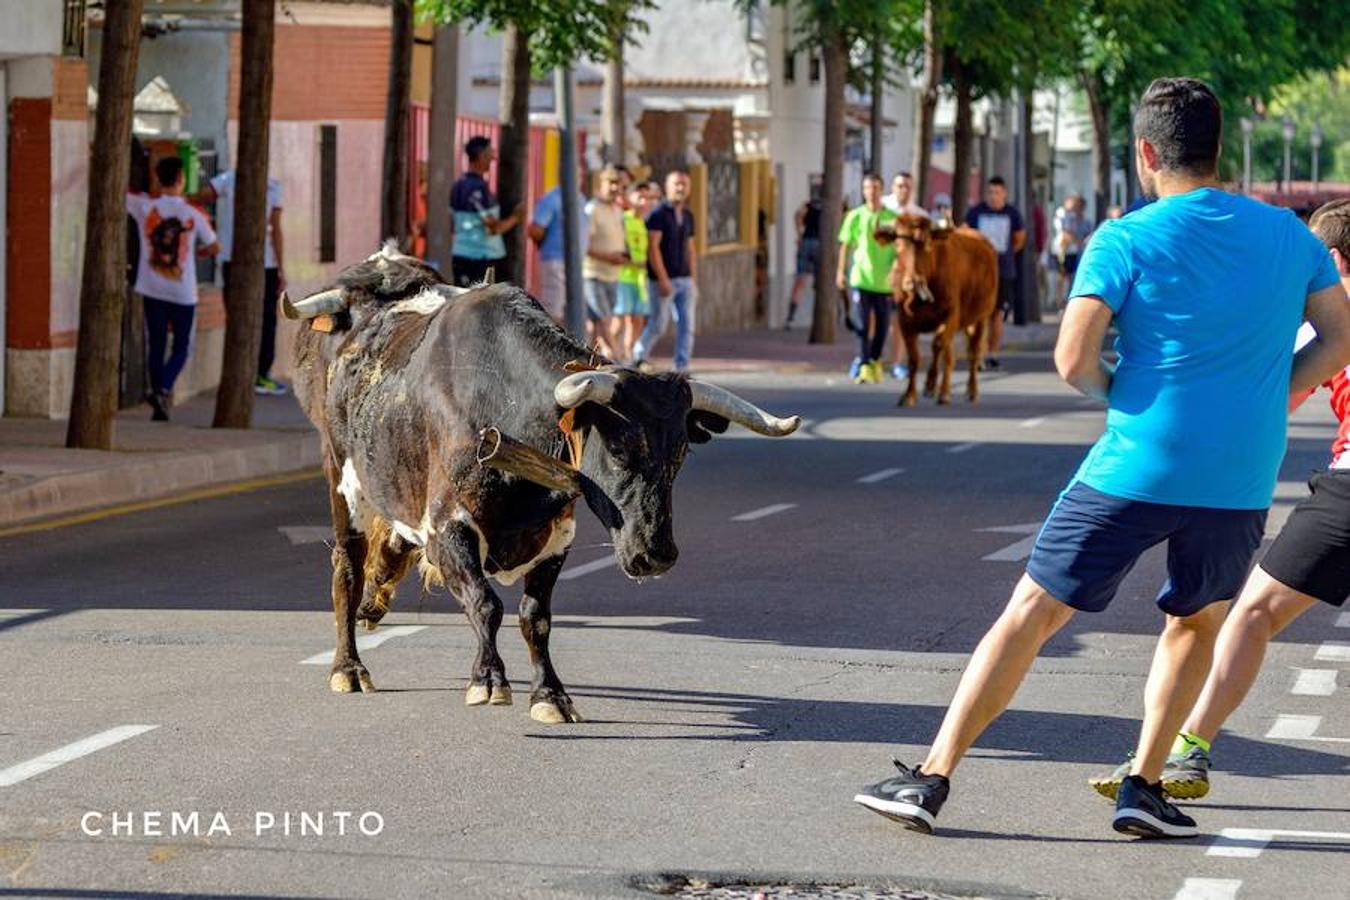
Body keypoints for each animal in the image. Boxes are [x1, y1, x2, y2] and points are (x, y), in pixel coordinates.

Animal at [891, 217, 999, 404]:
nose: (911, 282)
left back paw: (971, 391)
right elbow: (914, 358)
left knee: (973, 353)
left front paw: (929, 385)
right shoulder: (905, 322)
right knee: (950, 357)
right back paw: (945, 393)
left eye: (927, 245)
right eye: (898, 244)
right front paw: (909, 395)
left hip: (979, 319)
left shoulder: (949, 317)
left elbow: (937, 346)